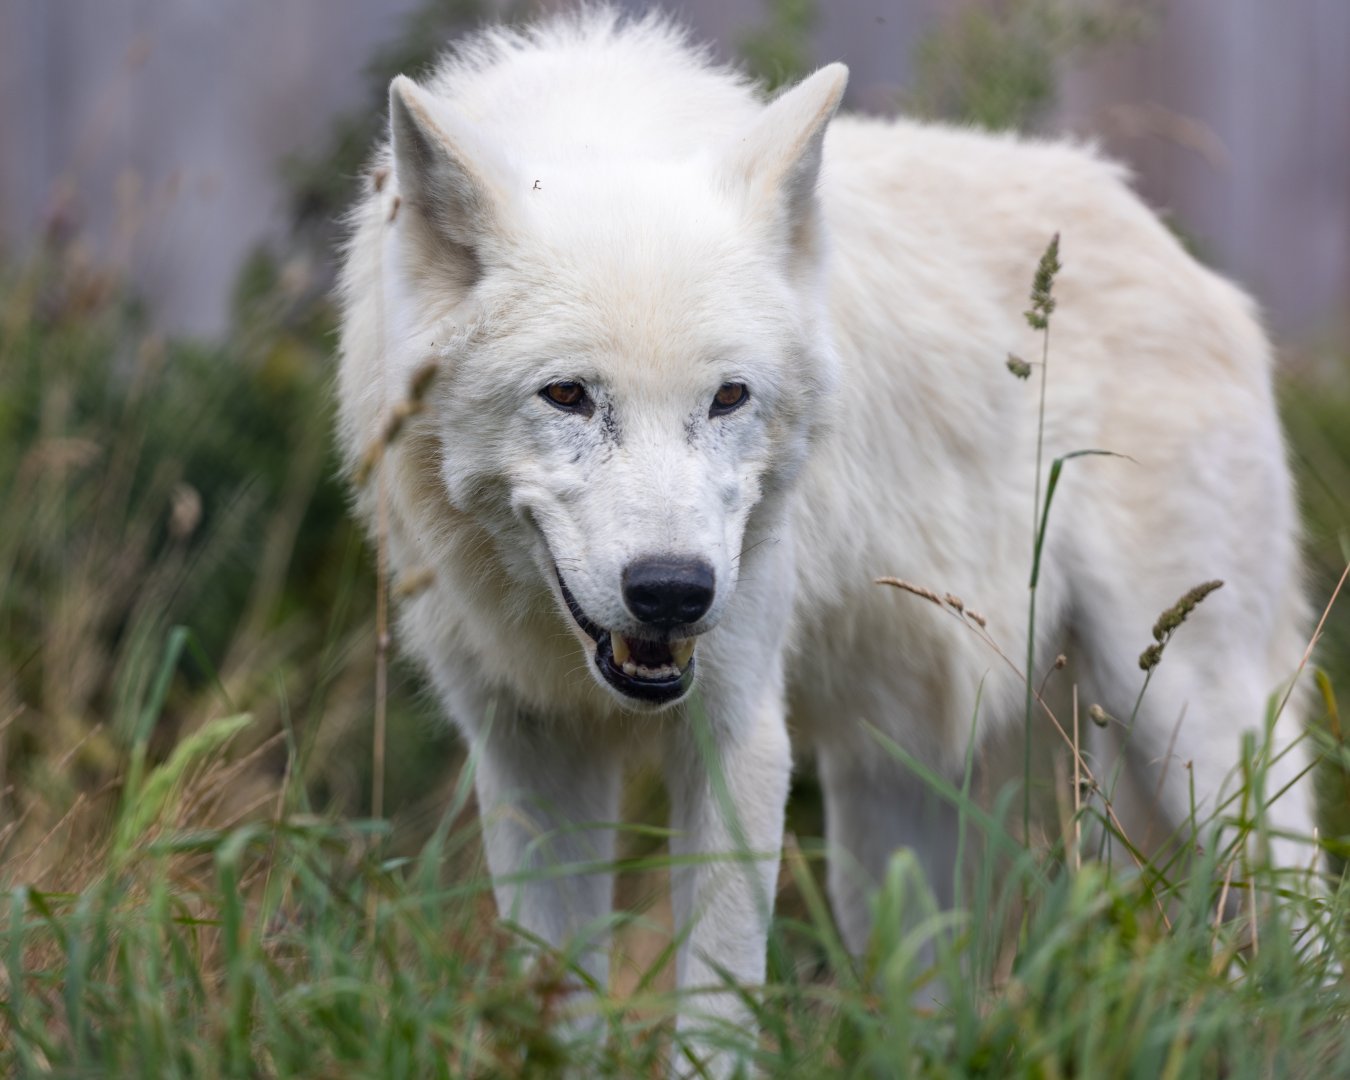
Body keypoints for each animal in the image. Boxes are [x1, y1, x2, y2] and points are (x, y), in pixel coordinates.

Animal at [338, 5, 1313, 1048]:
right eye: (567, 395)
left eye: (728, 397)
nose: (674, 591)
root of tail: (1188, 260)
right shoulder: (525, 754)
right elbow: (556, 1003)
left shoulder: (740, 734)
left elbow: (716, 1014)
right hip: (895, 817)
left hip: (1194, 730)